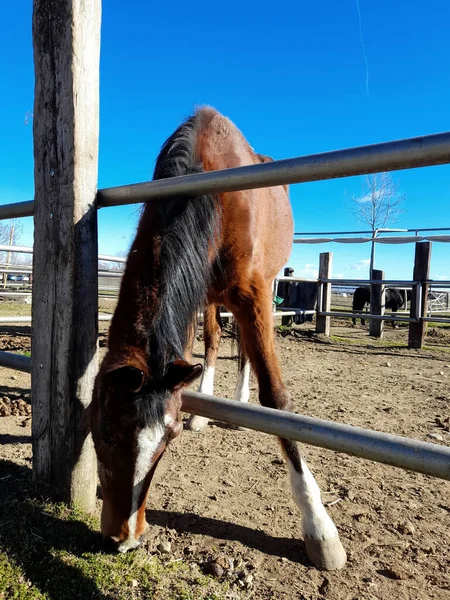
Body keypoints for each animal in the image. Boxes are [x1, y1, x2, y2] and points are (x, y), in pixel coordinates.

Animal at [89, 108, 346, 572]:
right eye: (103, 431)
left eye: (166, 441)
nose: (124, 538)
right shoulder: (196, 290)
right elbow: (200, 349)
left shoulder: (253, 293)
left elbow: (276, 396)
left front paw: (319, 527)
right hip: (210, 297)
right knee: (211, 341)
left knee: (244, 352)